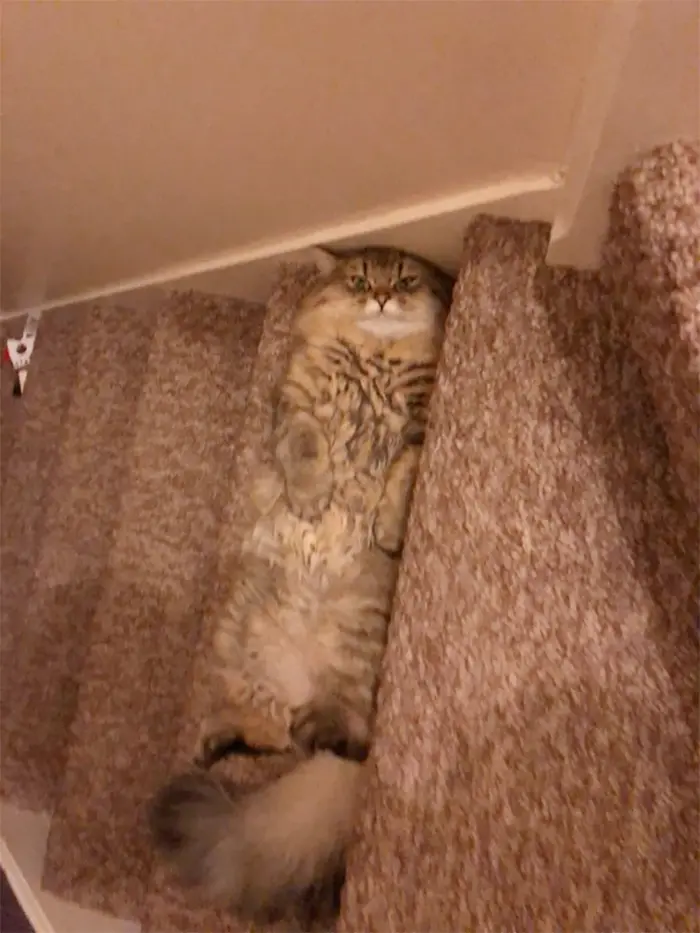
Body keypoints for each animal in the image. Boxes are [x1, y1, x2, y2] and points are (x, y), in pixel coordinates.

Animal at [149, 242, 454, 916]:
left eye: (407, 281)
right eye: (360, 280)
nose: (382, 299)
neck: (371, 359)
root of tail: (297, 685)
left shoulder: (418, 429)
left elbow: (400, 470)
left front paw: (385, 526)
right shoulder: (295, 411)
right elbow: (311, 449)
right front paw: (313, 501)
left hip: (351, 673)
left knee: (335, 744)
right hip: (240, 642)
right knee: (269, 734)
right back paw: (217, 746)